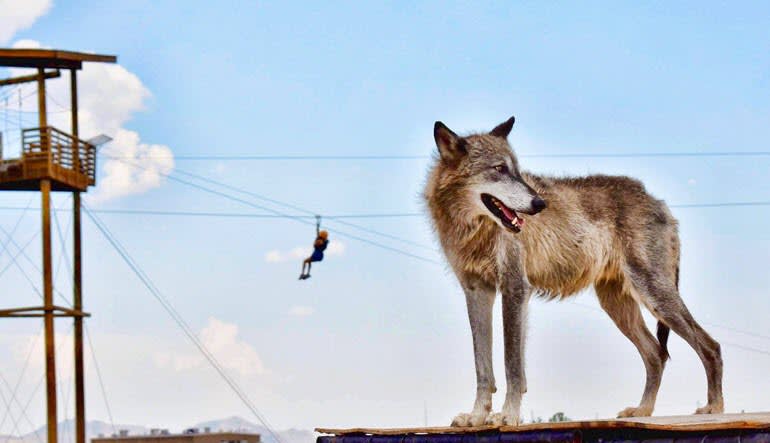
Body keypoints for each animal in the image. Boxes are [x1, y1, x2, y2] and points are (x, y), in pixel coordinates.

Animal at [424, 117, 724, 426]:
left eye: (517, 171)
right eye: (499, 169)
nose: (539, 204)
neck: (473, 229)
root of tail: (659, 202)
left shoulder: (515, 288)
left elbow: (512, 365)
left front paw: (508, 415)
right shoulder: (478, 292)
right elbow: (483, 369)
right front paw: (477, 416)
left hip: (655, 297)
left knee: (710, 346)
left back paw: (713, 407)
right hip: (618, 306)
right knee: (656, 353)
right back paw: (643, 410)